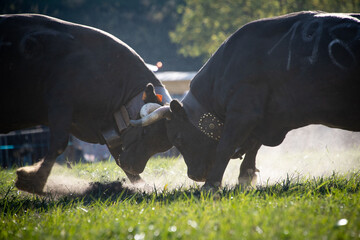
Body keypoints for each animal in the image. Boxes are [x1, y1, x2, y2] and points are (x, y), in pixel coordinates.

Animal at [0, 14, 172, 194]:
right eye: (145, 131)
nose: (134, 167)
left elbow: (117, 154)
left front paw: (142, 186)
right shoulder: (60, 104)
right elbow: (59, 143)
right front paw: (33, 181)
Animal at [131, 12, 360, 189]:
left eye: (178, 138)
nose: (194, 176)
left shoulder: (244, 111)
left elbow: (226, 145)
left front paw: (212, 185)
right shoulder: (261, 115)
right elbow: (253, 144)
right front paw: (246, 177)